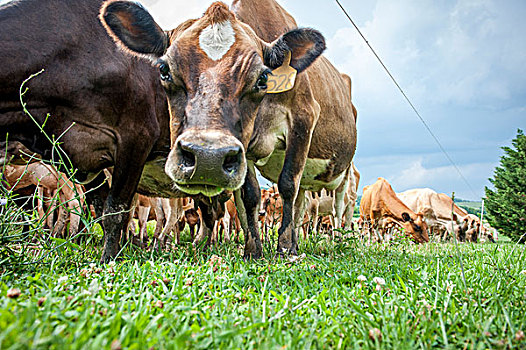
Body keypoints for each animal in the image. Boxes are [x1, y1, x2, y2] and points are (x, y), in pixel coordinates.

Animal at [101, 0, 358, 258]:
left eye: (263, 78)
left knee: (338, 209)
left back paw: (338, 241)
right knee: (300, 202)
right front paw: (254, 249)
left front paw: (284, 248)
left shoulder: (304, 117)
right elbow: (250, 195)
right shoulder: (244, 148)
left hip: (345, 177)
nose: (208, 159)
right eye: (164, 70)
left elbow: (286, 184)